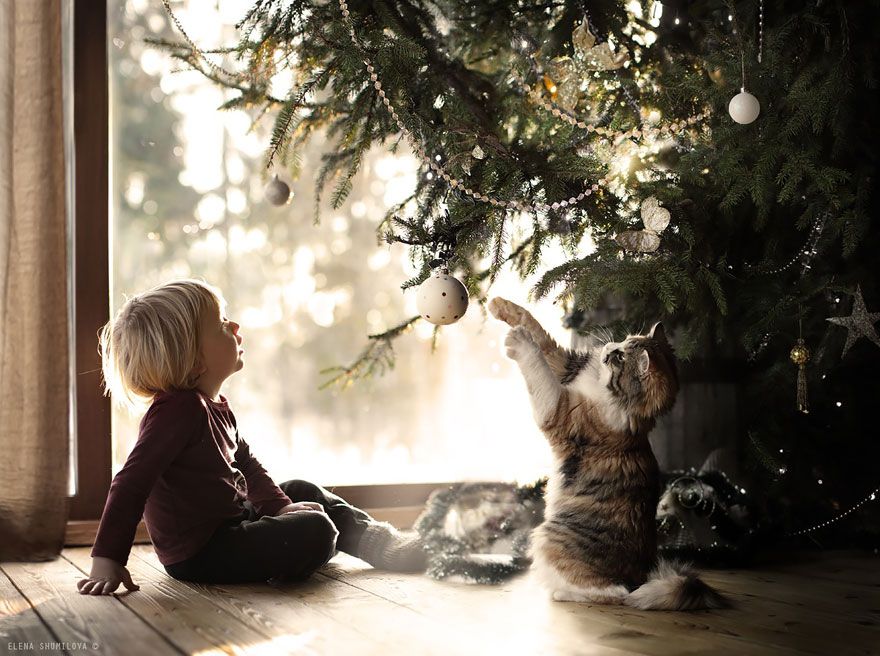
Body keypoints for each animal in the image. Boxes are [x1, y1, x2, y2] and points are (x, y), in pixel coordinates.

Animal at [488, 298, 728, 608]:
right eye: (624, 342)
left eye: (621, 357)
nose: (608, 347)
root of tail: (641, 577)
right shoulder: (567, 366)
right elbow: (539, 334)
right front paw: (502, 307)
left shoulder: (560, 411)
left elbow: (537, 363)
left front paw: (518, 341)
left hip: (548, 536)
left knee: (615, 594)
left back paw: (561, 594)